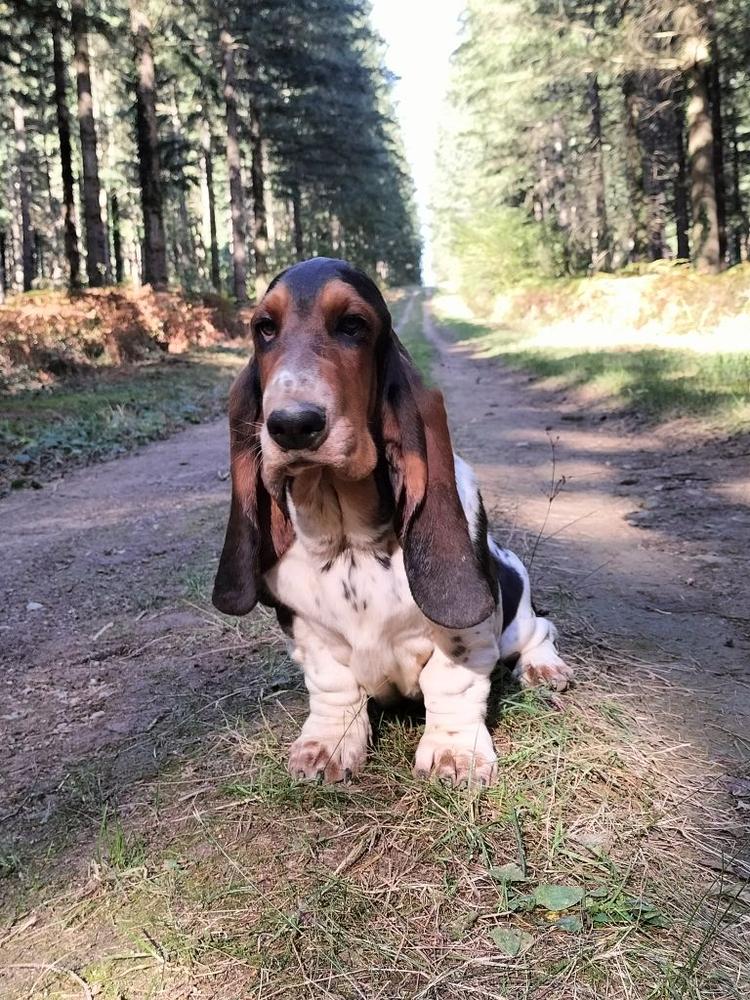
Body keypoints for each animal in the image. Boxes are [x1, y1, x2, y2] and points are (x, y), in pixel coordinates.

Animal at [213, 260, 576, 788]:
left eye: (352, 325)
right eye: (264, 328)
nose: (293, 424)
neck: (349, 542)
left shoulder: (464, 638)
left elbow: (450, 682)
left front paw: (455, 754)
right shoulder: (309, 635)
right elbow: (333, 686)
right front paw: (325, 746)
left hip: (516, 616)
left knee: (540, 630)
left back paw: (545, 670)